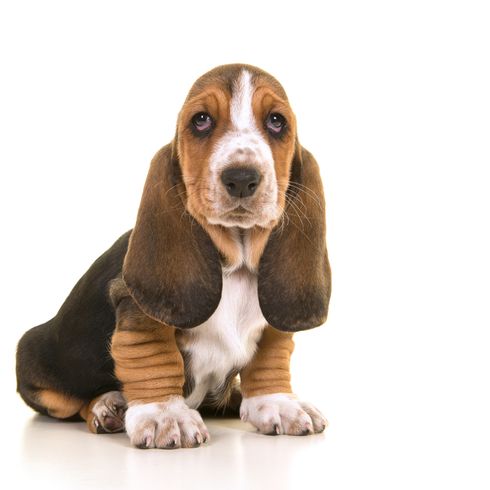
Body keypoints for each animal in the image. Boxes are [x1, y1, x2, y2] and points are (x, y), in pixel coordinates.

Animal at [16, 64, 330, 448]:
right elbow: (153, 356)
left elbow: (270, 356)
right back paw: (107, 406)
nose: (241, 179)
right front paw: (165, 414)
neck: (235, 265)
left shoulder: (272, 322)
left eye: (276, 121)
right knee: (73, 404)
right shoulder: (137, 312)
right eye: (201, 120)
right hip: (38, 365)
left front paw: (279, 403)